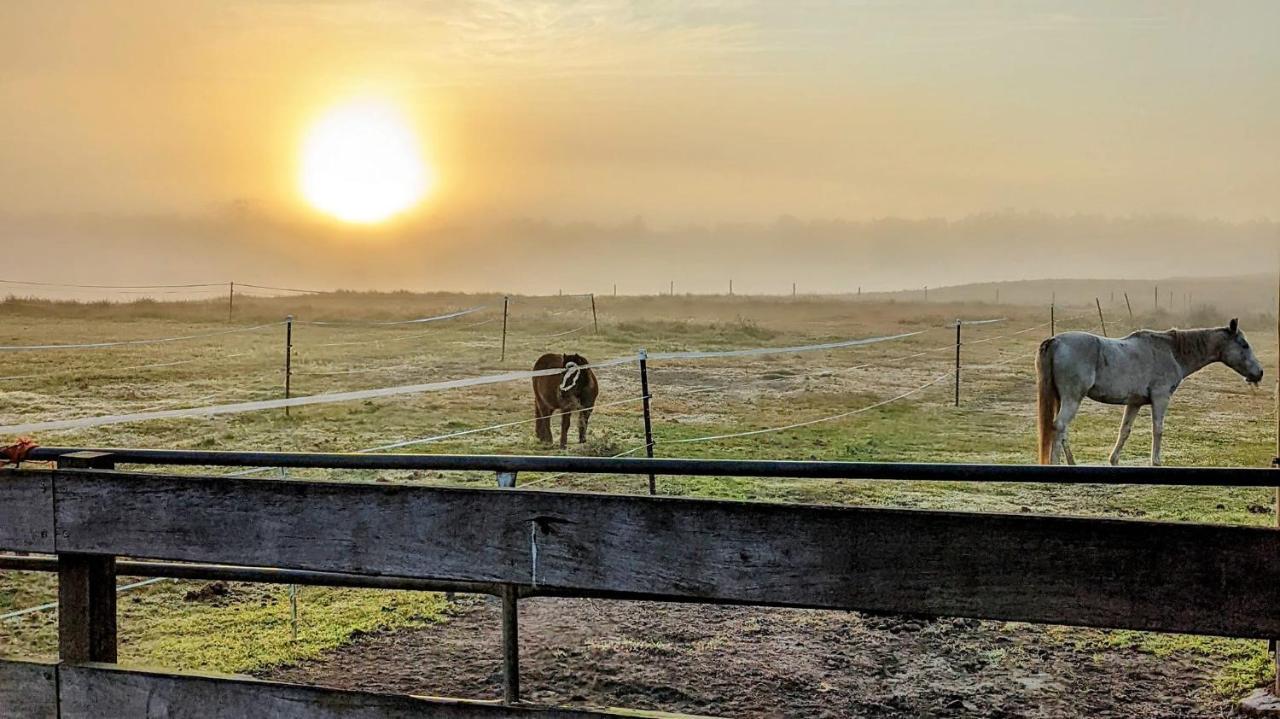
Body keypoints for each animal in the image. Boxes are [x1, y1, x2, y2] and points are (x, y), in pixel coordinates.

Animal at [1039, 317, 1259, 465]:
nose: (1259, 373)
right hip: (1072, 399)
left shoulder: (1134, 403)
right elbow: (1158, 429)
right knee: (1059, 426)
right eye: (1244, 345)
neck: (1172, 352)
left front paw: (1114, 459)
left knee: (1062, 430)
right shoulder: (1161, 398)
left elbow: (1125, 430)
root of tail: (1055, 341)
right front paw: (1156, 461)